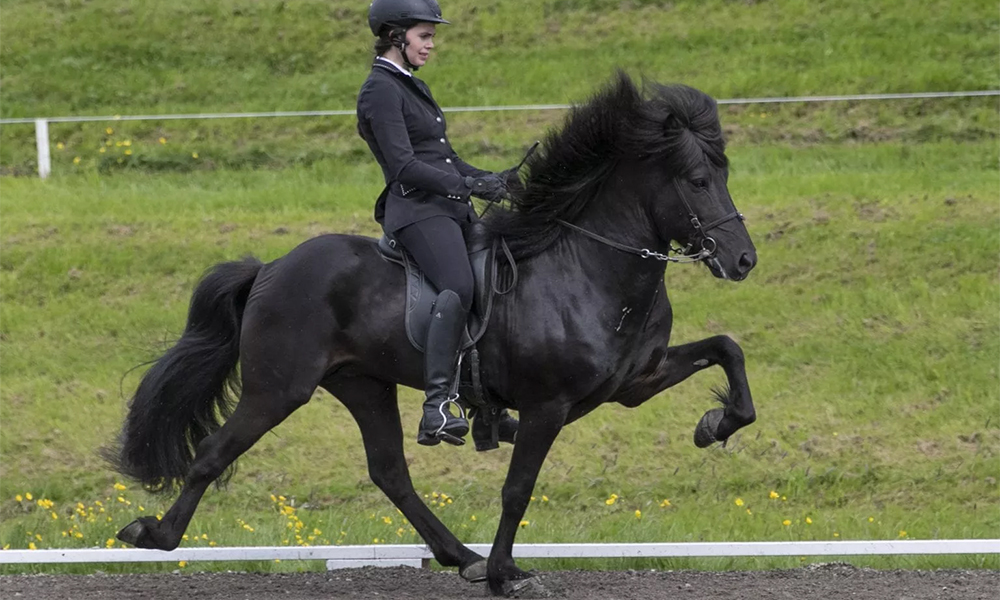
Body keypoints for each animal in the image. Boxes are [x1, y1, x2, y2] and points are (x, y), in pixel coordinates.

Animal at [103, 72, 756, 596]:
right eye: (698, 180)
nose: (743, 261)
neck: (588, 267)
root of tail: (270, 267)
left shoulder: (634, 383)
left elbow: (728, 349)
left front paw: (715, 424)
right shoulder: (548, 405)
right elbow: (518, 489)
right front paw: (505, 575)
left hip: (363, 384)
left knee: (390, 472)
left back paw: (461, 556)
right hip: (278, 389)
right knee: (215, 452)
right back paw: (153, 533)